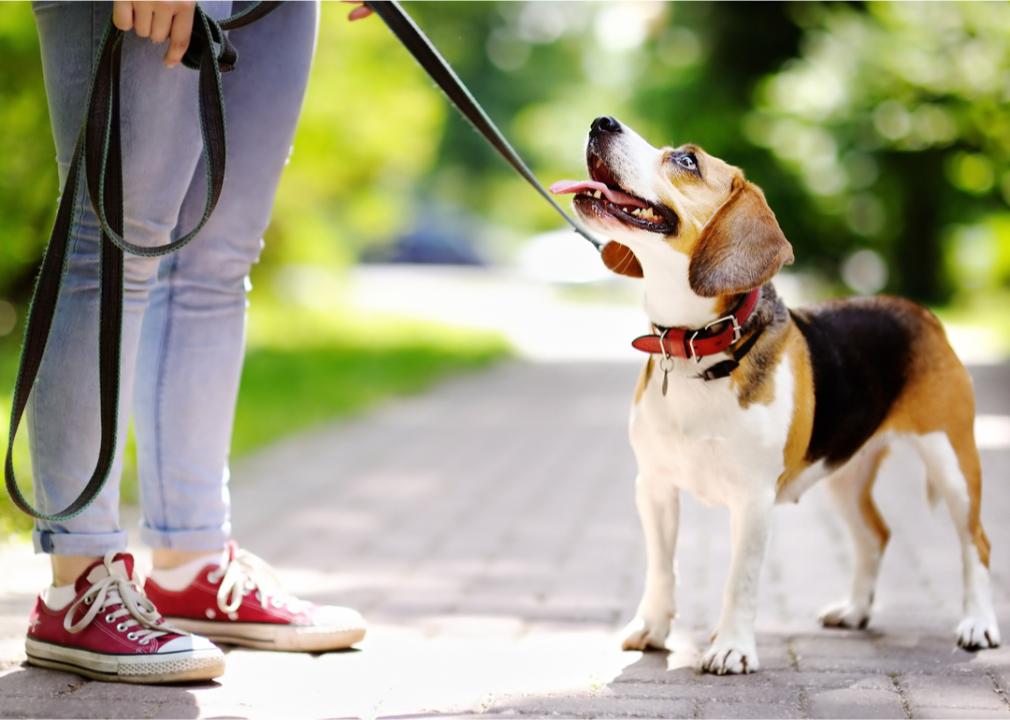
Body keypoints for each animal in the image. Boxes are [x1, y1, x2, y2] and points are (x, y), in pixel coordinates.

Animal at [553, 116, 1001, 674]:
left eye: (686, 160)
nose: (601, 122)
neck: (697, 347)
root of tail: (919, 311)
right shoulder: (653, 486)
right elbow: (661, 567)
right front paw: (652, 628)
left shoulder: (753, 499)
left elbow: (739, 580)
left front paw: (730, 647)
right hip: (844, 473)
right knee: (875, 536)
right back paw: (855, 610)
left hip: (952, 460)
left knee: (976, 542)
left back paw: (978, 624)